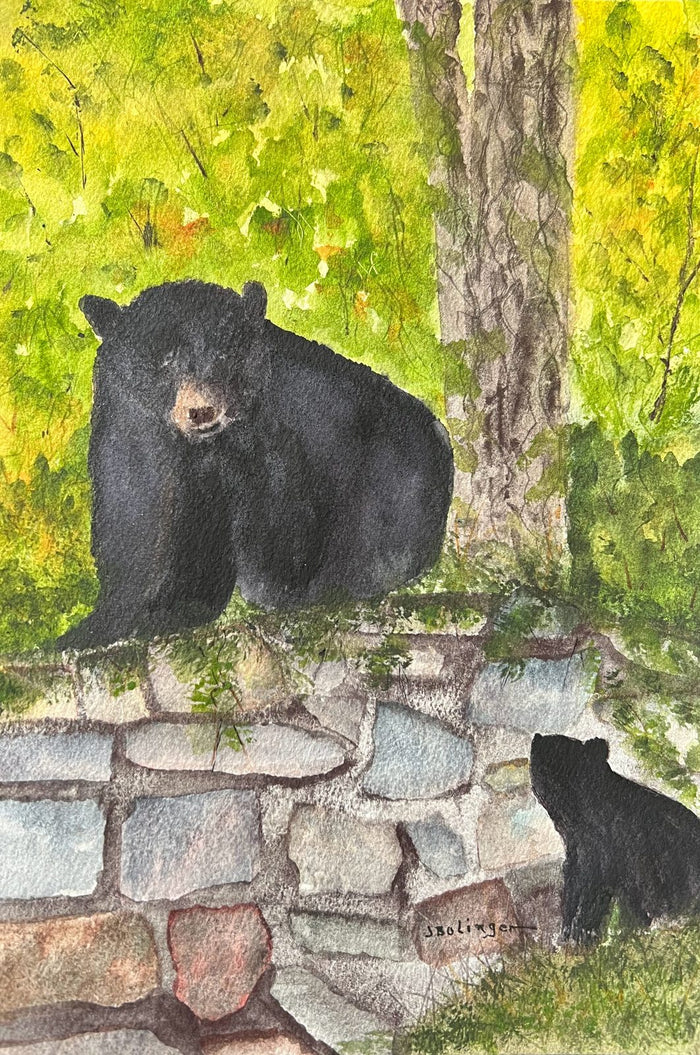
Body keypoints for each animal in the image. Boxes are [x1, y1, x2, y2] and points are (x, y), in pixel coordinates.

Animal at [57, 280, 454, 648]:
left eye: (223, 355)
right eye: (165, 360)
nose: (201, 411)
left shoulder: (299, 416)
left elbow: (289, 519)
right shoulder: (127, 415)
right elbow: (132, 512)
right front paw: (100, 626)